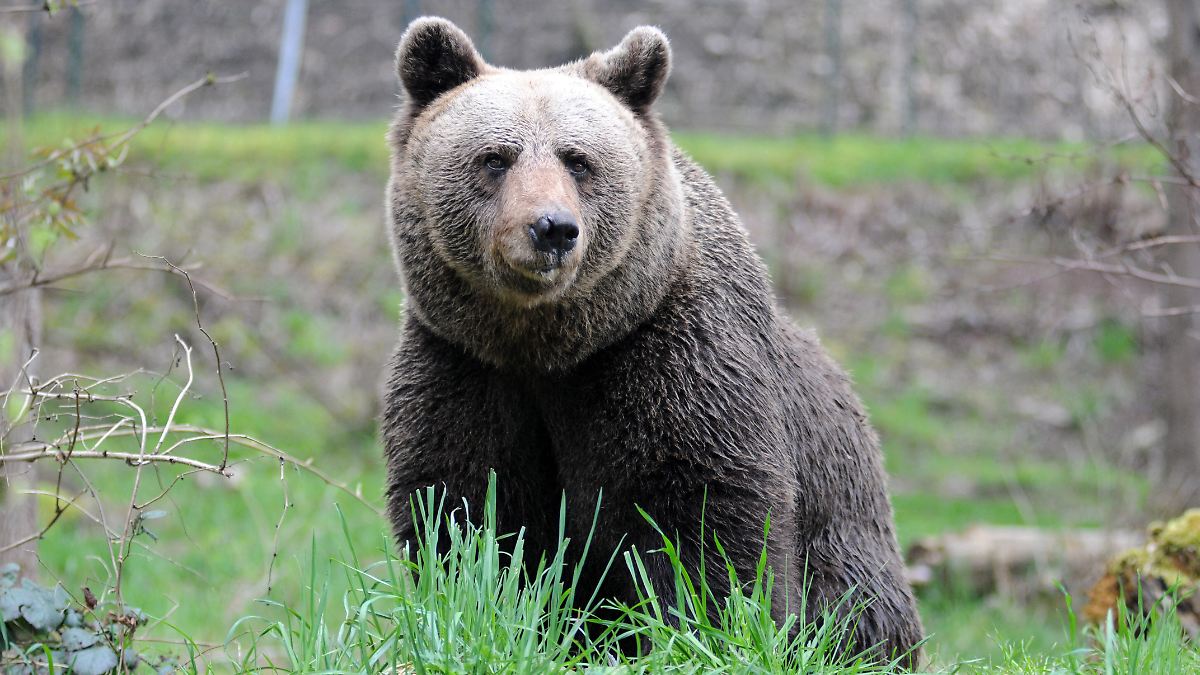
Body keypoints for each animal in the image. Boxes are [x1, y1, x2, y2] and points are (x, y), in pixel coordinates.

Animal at [381, 17, 924, 667]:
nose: (552, 228)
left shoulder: (668, 354)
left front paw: (696, 634)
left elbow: (700, 512)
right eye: (495, 158)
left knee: (853, 612)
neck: (551, 344)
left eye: (577, 160)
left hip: (849, 537)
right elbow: (466, 508)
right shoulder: (464, 363)